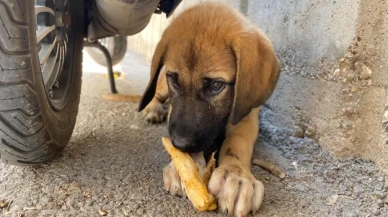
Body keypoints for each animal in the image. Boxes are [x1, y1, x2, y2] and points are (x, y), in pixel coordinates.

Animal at [138, 2, 280, 216]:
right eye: (174, 79)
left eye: (215, 85)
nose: (180, 144)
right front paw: (184, 167)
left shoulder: (247, 116)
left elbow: (236, 143)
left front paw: (236, 175)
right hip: (161, 86)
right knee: (156, 93)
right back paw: (153, 108)